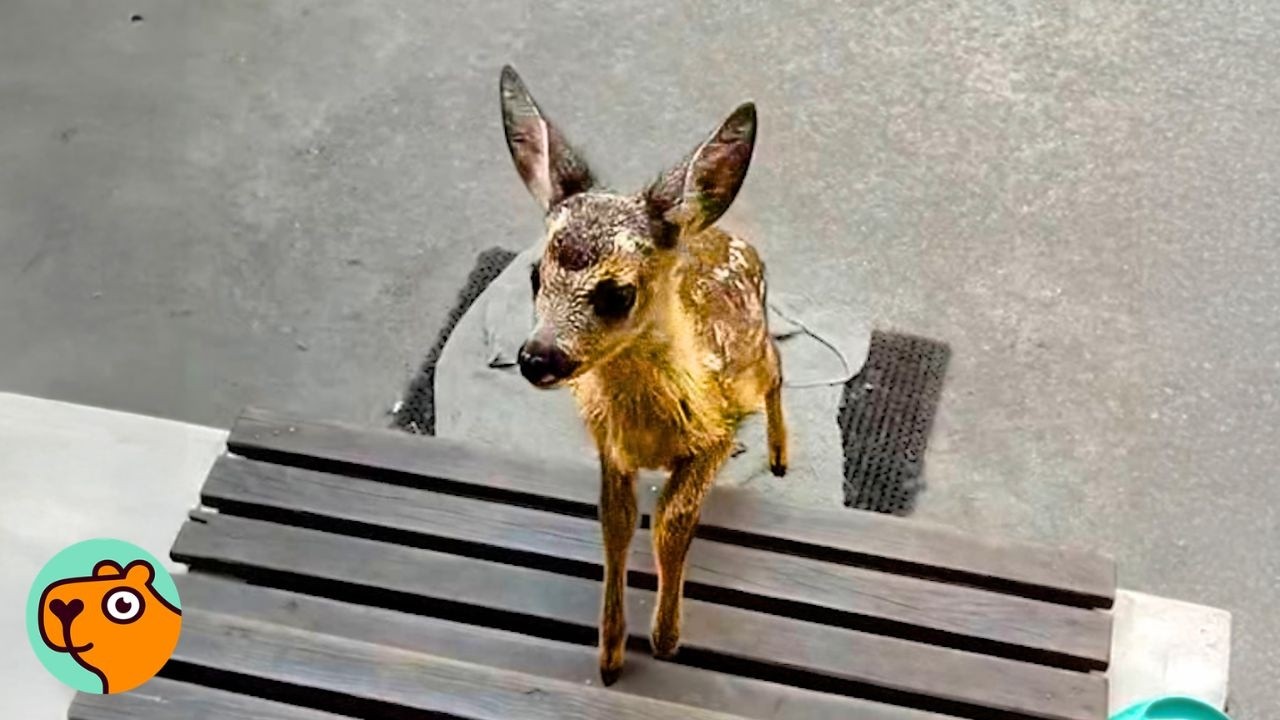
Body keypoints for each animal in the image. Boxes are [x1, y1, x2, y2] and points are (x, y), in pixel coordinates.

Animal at [499, 65, 787, 686]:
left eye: (617, 293)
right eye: (534, 275)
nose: (537, 357)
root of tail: (729, 234)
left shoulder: (712, 433)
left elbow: (673, 522)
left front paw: (665, 639)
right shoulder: (609, 445)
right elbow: (616, 522)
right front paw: (609, 655)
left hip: (754, 356)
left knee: (778, 368)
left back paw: (779, 457)